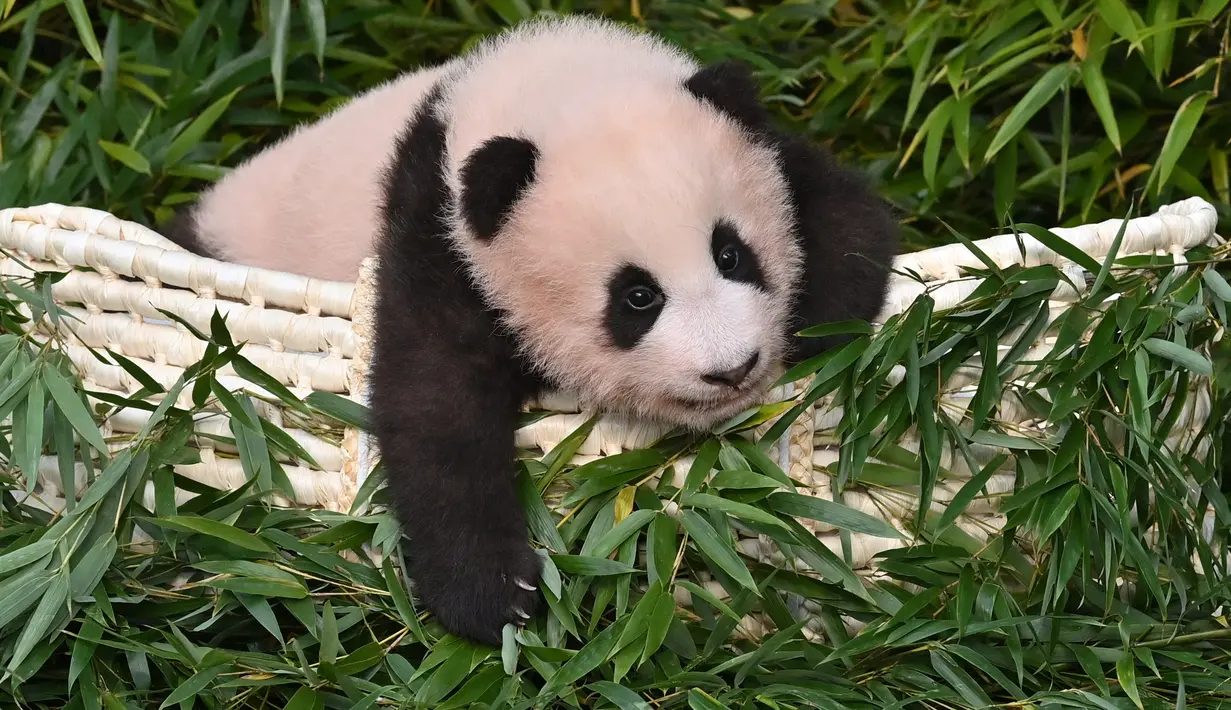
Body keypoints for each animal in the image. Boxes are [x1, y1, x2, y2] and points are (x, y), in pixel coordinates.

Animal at [167, 15, 901, 645]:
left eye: (731, 253)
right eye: (636, 298)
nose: (731, 369)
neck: (546, 84)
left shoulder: (773, 150)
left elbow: (852, 220)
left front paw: (817, 328)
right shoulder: (440, 236)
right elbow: (434, 402)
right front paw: (491, 595)